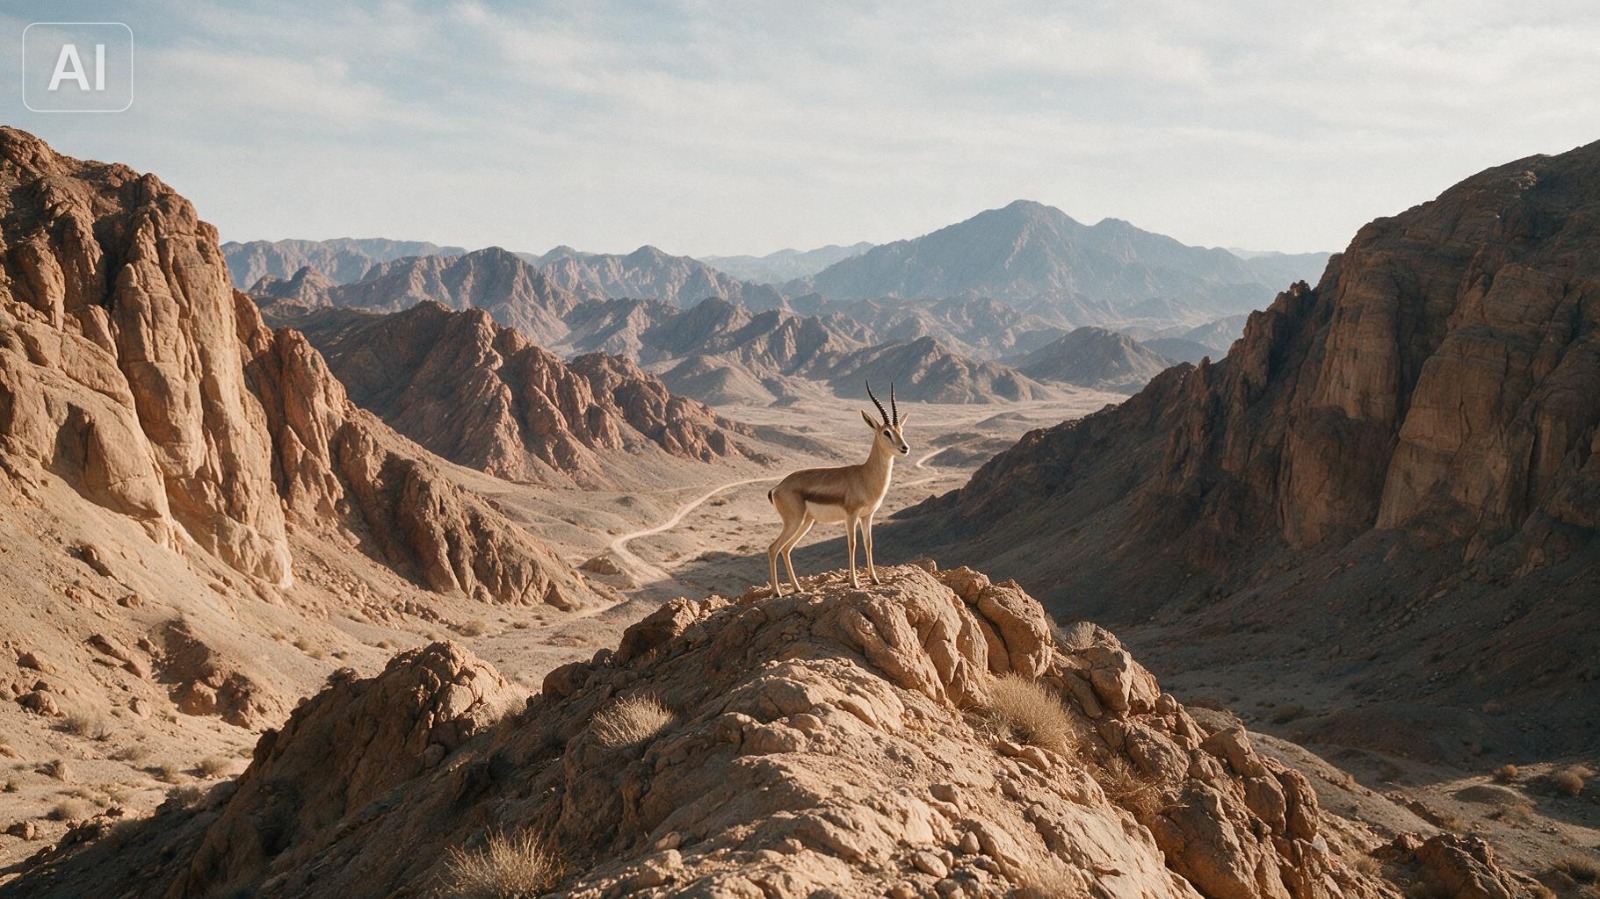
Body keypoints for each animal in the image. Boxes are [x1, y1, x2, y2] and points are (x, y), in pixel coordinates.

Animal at [766, 382, 910, 596]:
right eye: (886, 432)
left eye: (900, 430)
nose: (904, 448)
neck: (865, 475)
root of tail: (777, 487)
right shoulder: (851, 515)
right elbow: (852, 544)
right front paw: (854, 583)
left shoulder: (867, 516)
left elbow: (868, 543)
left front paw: (874, 579)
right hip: (793, 521)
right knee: (773, 548)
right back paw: (777, 592)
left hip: (806, 522)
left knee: (786, 549)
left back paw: (797, 588)